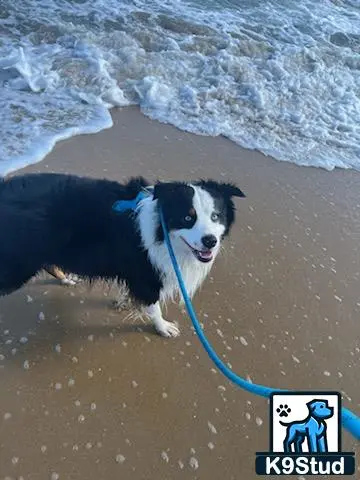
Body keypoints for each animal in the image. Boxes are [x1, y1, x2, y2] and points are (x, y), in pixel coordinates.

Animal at [0, 173, 245, 338]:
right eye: (187, 218)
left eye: (216, 216)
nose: (210, 241)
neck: (161, 231)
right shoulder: (147, 274)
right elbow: (154, 305)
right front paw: (163, 327)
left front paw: (124, 301)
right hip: (18, 263)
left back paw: (66, 278)